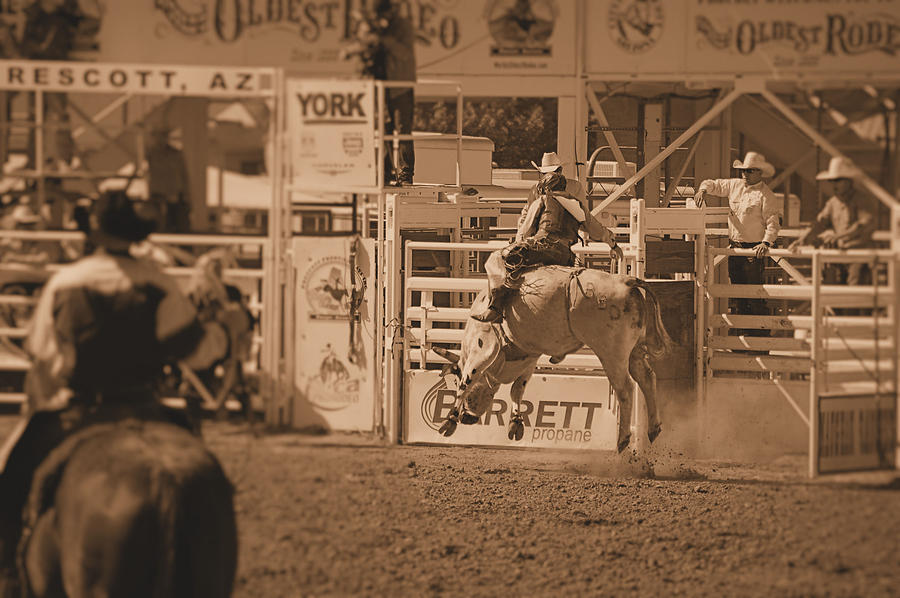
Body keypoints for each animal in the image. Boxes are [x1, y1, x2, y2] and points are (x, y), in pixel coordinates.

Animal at [432, 268, 672, 454]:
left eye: (455, 378)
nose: (467, 418)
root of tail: (625, 281)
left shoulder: (483, 349)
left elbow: (468, 382)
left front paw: (449, 421)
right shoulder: (529, 356)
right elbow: (518, 389)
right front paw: (515, 424)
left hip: (612, 353)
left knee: (625, 389)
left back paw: (623, 439)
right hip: (634, 351)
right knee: (647, 377)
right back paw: (653, 428)